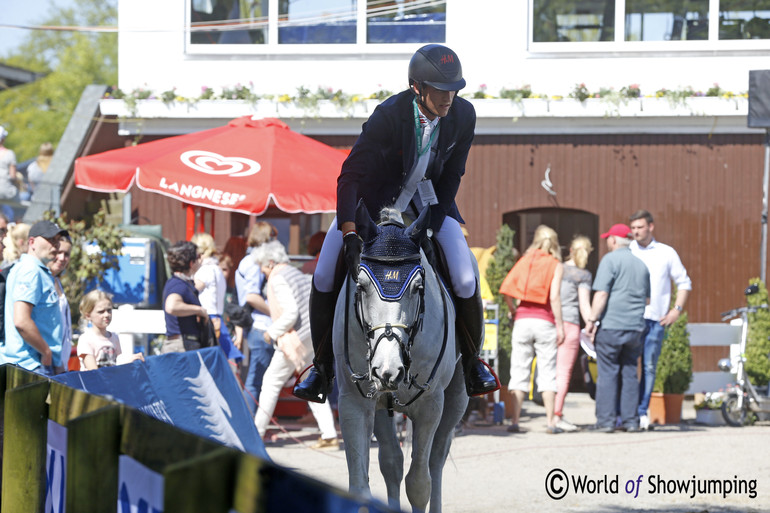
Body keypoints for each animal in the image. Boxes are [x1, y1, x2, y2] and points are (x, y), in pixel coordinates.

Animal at [332, 204, 468, 512]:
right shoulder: (353, 401)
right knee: (391, 462)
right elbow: (360, 484)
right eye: (361, 285)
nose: (387, 370)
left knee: (436, 461)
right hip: (382, 405)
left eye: (418, 287)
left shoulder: (431, 405)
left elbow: (419, 484)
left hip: (456, 400)